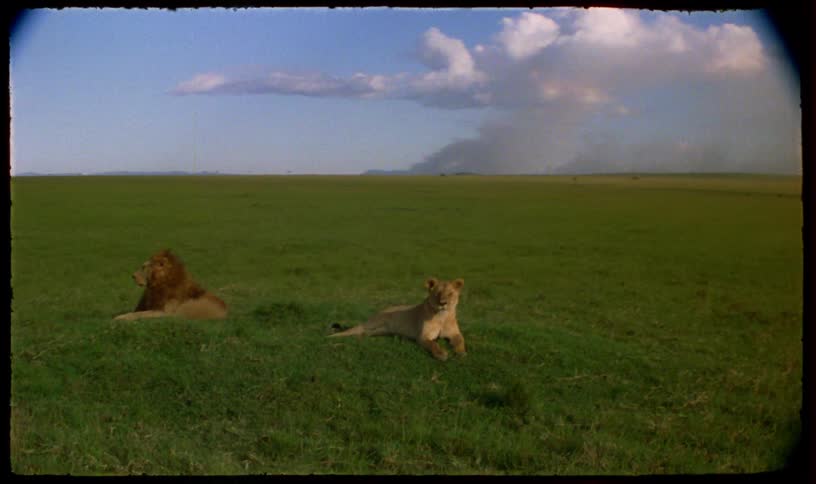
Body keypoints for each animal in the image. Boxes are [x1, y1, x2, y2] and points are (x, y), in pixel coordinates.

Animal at [329, 277, 466, 361]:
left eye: (450, 294)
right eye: (437, 293)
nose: (443, 303)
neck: (442, 316)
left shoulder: (455, 333)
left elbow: (460, 341)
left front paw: (461, 353)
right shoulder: (422, 336)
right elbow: (433, 344)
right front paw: (441, 354)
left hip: (381, 331)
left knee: (366, 333)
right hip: (374, 322)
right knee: (356, 330)